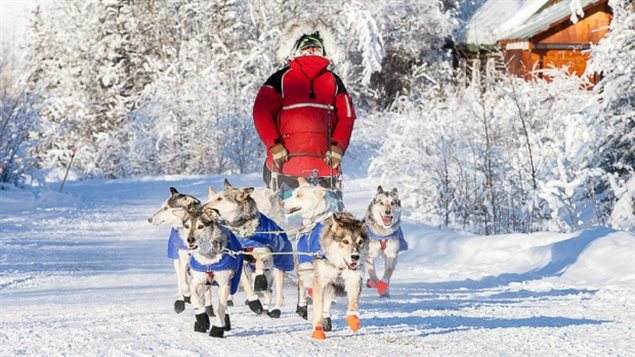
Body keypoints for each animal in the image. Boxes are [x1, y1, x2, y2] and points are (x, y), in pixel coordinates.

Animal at [174, 206, 243, 336]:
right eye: (186, 226)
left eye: (201, 226)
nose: (190, 239)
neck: (208, 258)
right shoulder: (196, 281)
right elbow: (194, 298)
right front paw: (202, 318)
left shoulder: (224, 283)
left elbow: (221, 307)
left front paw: (217, 328)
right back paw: (199, 323)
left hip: (232, 283)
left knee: (226, 303)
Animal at [206, 179, 294, 316]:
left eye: (220, 198)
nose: (203, 206)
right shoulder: (240, 263)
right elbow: (247, 284)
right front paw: (254, 301)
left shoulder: (265, 253)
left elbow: (259, 264)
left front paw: (259, 281)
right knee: (268, 292)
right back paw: (264, 306)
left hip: (278, 268)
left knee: (279, 293)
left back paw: (276, 309)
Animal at [310, 211, 370, 340]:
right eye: (345, 241)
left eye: (360, 242)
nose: (355, 256)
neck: (339, 266)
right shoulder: (320, 282)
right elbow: (318, 307)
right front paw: (317, 329)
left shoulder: (354, 278)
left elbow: (353, 302)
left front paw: (353, 319)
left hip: (331, 287)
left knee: (326, 305)